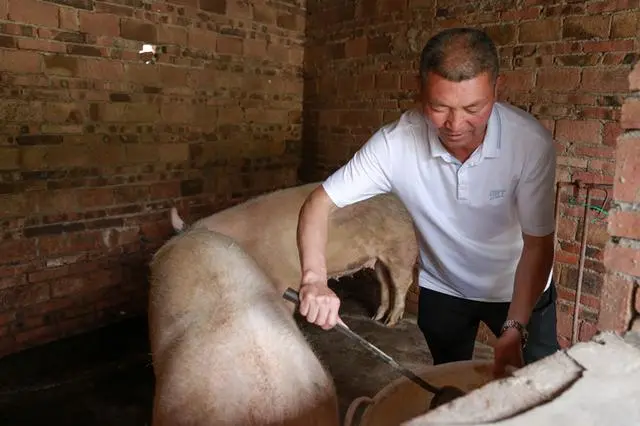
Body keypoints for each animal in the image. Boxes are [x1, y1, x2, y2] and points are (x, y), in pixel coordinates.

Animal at [170, 182, 420, 326]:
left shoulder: (286, 278)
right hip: (378, 258)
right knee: (384, 282)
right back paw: (376, 318)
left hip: (402, 248)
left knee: (402, 282)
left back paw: (390, 322)